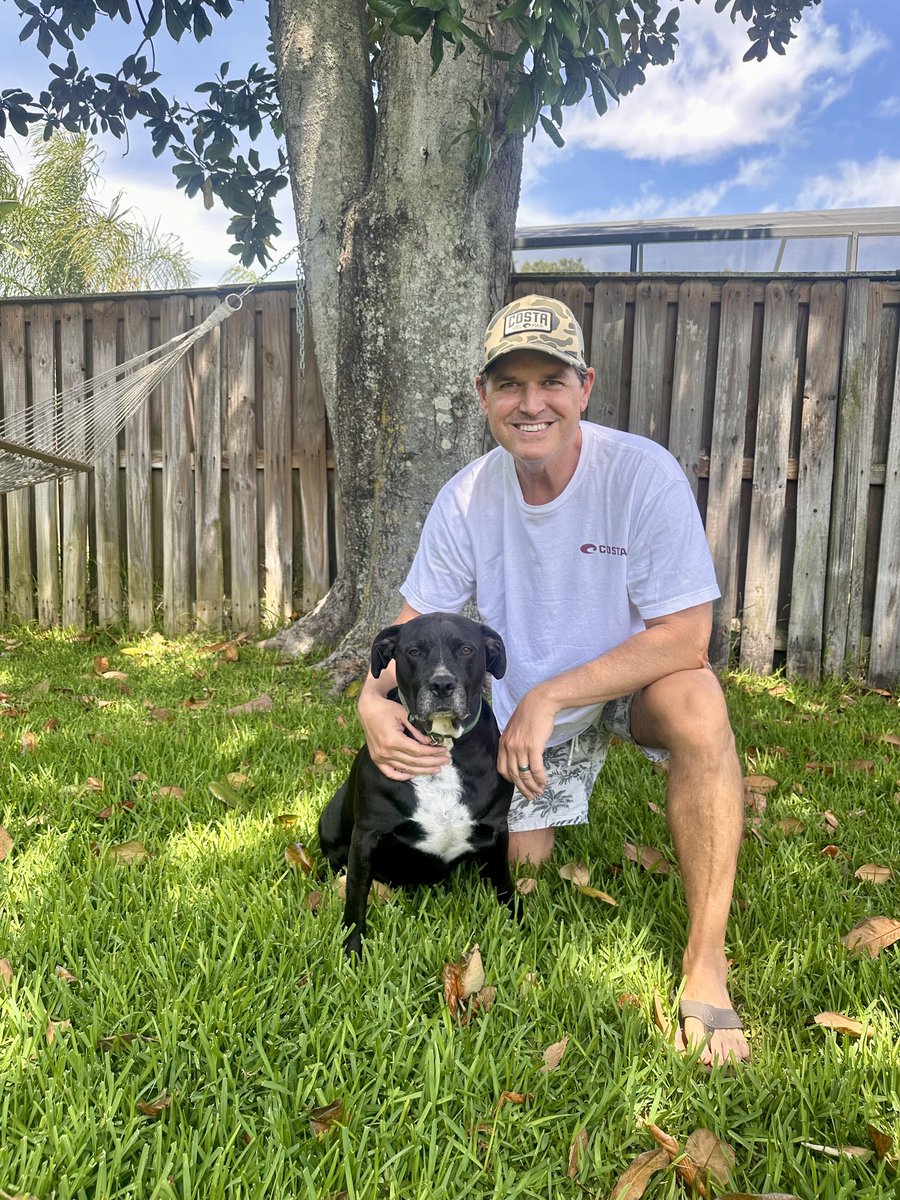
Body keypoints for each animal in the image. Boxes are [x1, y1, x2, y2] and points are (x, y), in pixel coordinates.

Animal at [319, 614, 518, 950]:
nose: (442, 684)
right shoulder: (366, 835)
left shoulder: (496, 830)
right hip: (330, 823)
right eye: (413, 651)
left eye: (466, 649)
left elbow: (505, 883)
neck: (443, 743)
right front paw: (352, 949)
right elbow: (356, 895)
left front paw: (522, 926)